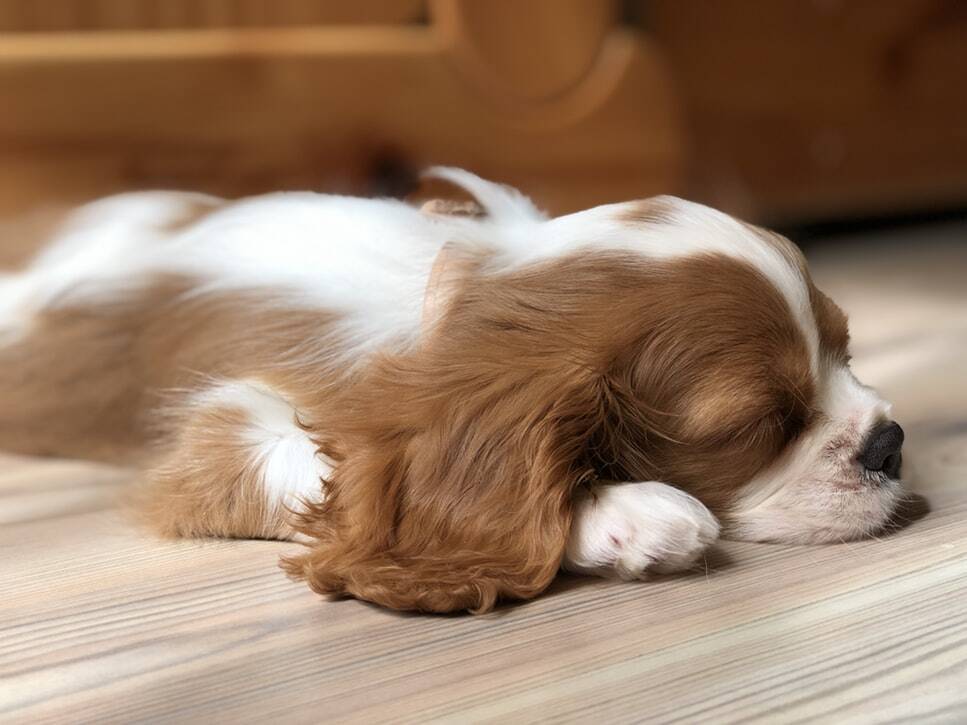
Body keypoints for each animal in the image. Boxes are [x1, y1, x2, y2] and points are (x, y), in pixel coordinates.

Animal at [1, 168, 908, 612]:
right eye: (761, 423)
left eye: (846, 349)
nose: (890, 443)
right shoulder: (217, 430)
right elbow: (334, 471)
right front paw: (617, 509)